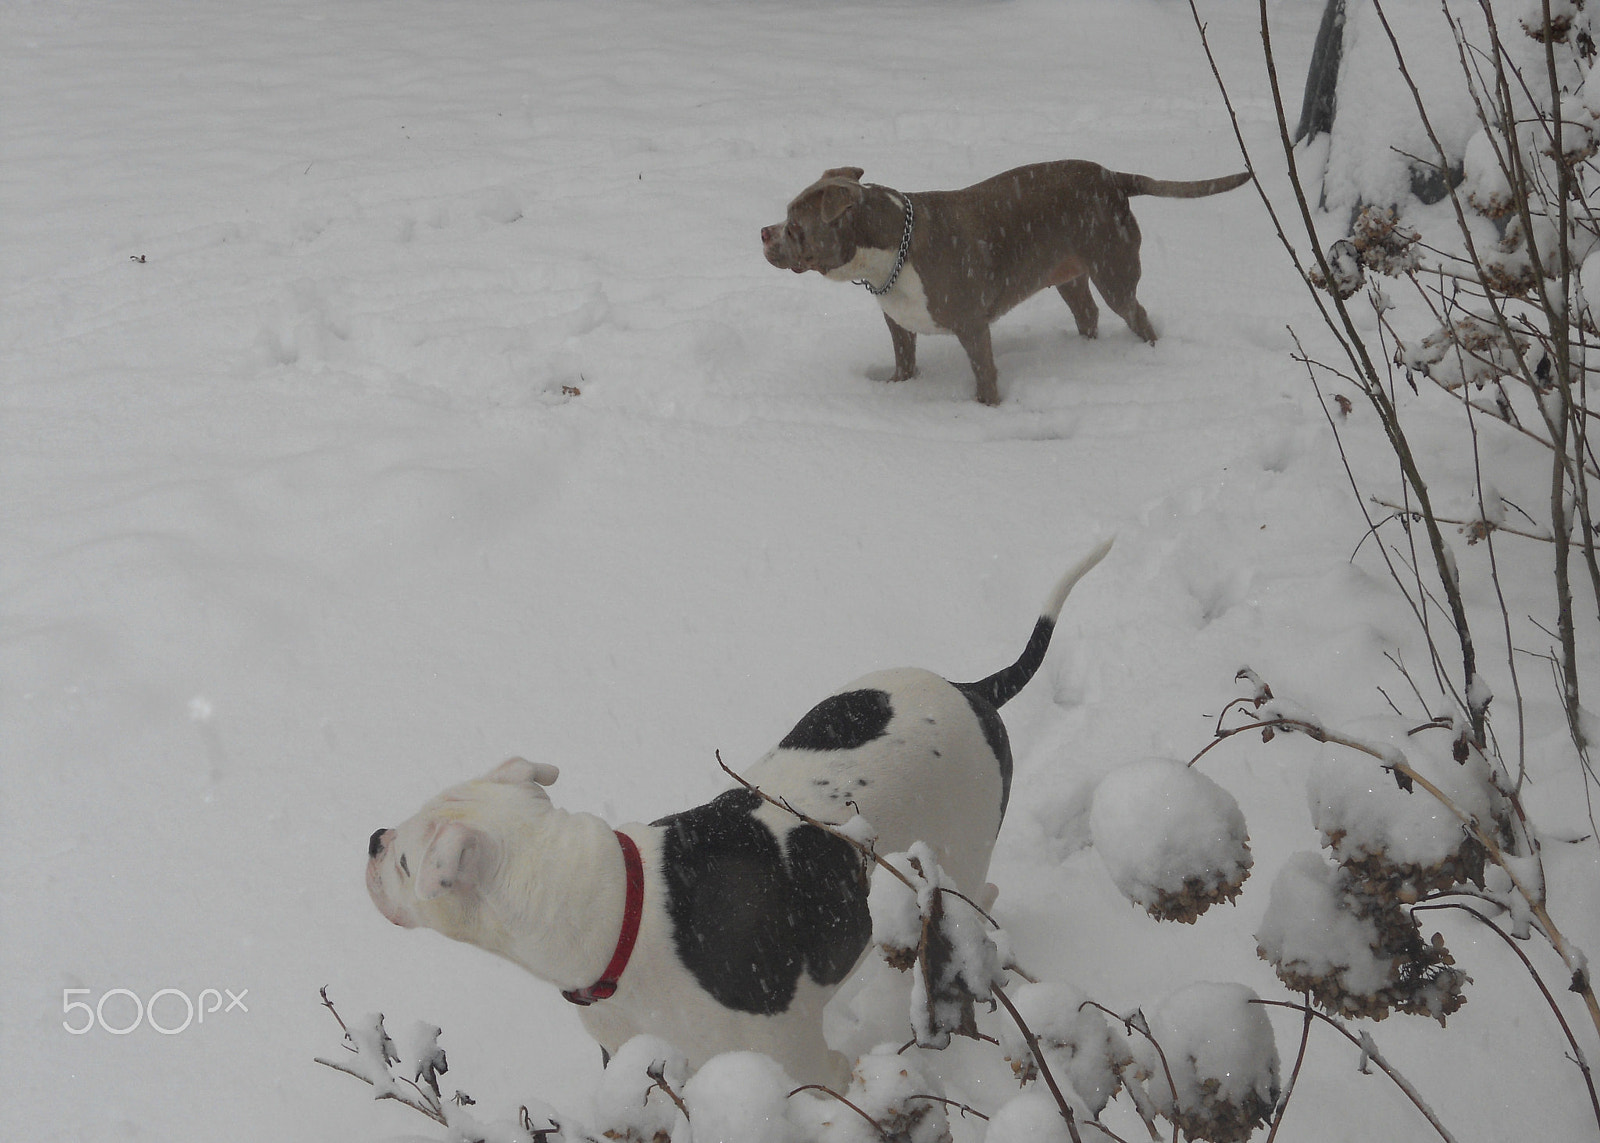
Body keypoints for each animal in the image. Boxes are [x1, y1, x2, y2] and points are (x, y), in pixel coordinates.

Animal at [366, 537, 1107, 1082]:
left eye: (404, 862)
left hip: (961, 853)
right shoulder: (641, 1058)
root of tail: (971, 688)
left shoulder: (805, 1064)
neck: (618, 912)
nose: (371, 838)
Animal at [761, 162, 1248, 403]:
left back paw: (1149, 353)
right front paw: (897, 388)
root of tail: (1113, 177)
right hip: (1067, 274)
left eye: (795, 226)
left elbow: (985, 377)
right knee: (1087, 311)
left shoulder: (972, 327)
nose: (763, 232)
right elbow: (903, 361)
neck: (891, 251)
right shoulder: (898, 322)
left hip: (1114, 270)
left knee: (1135, 313)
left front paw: (986, 410)